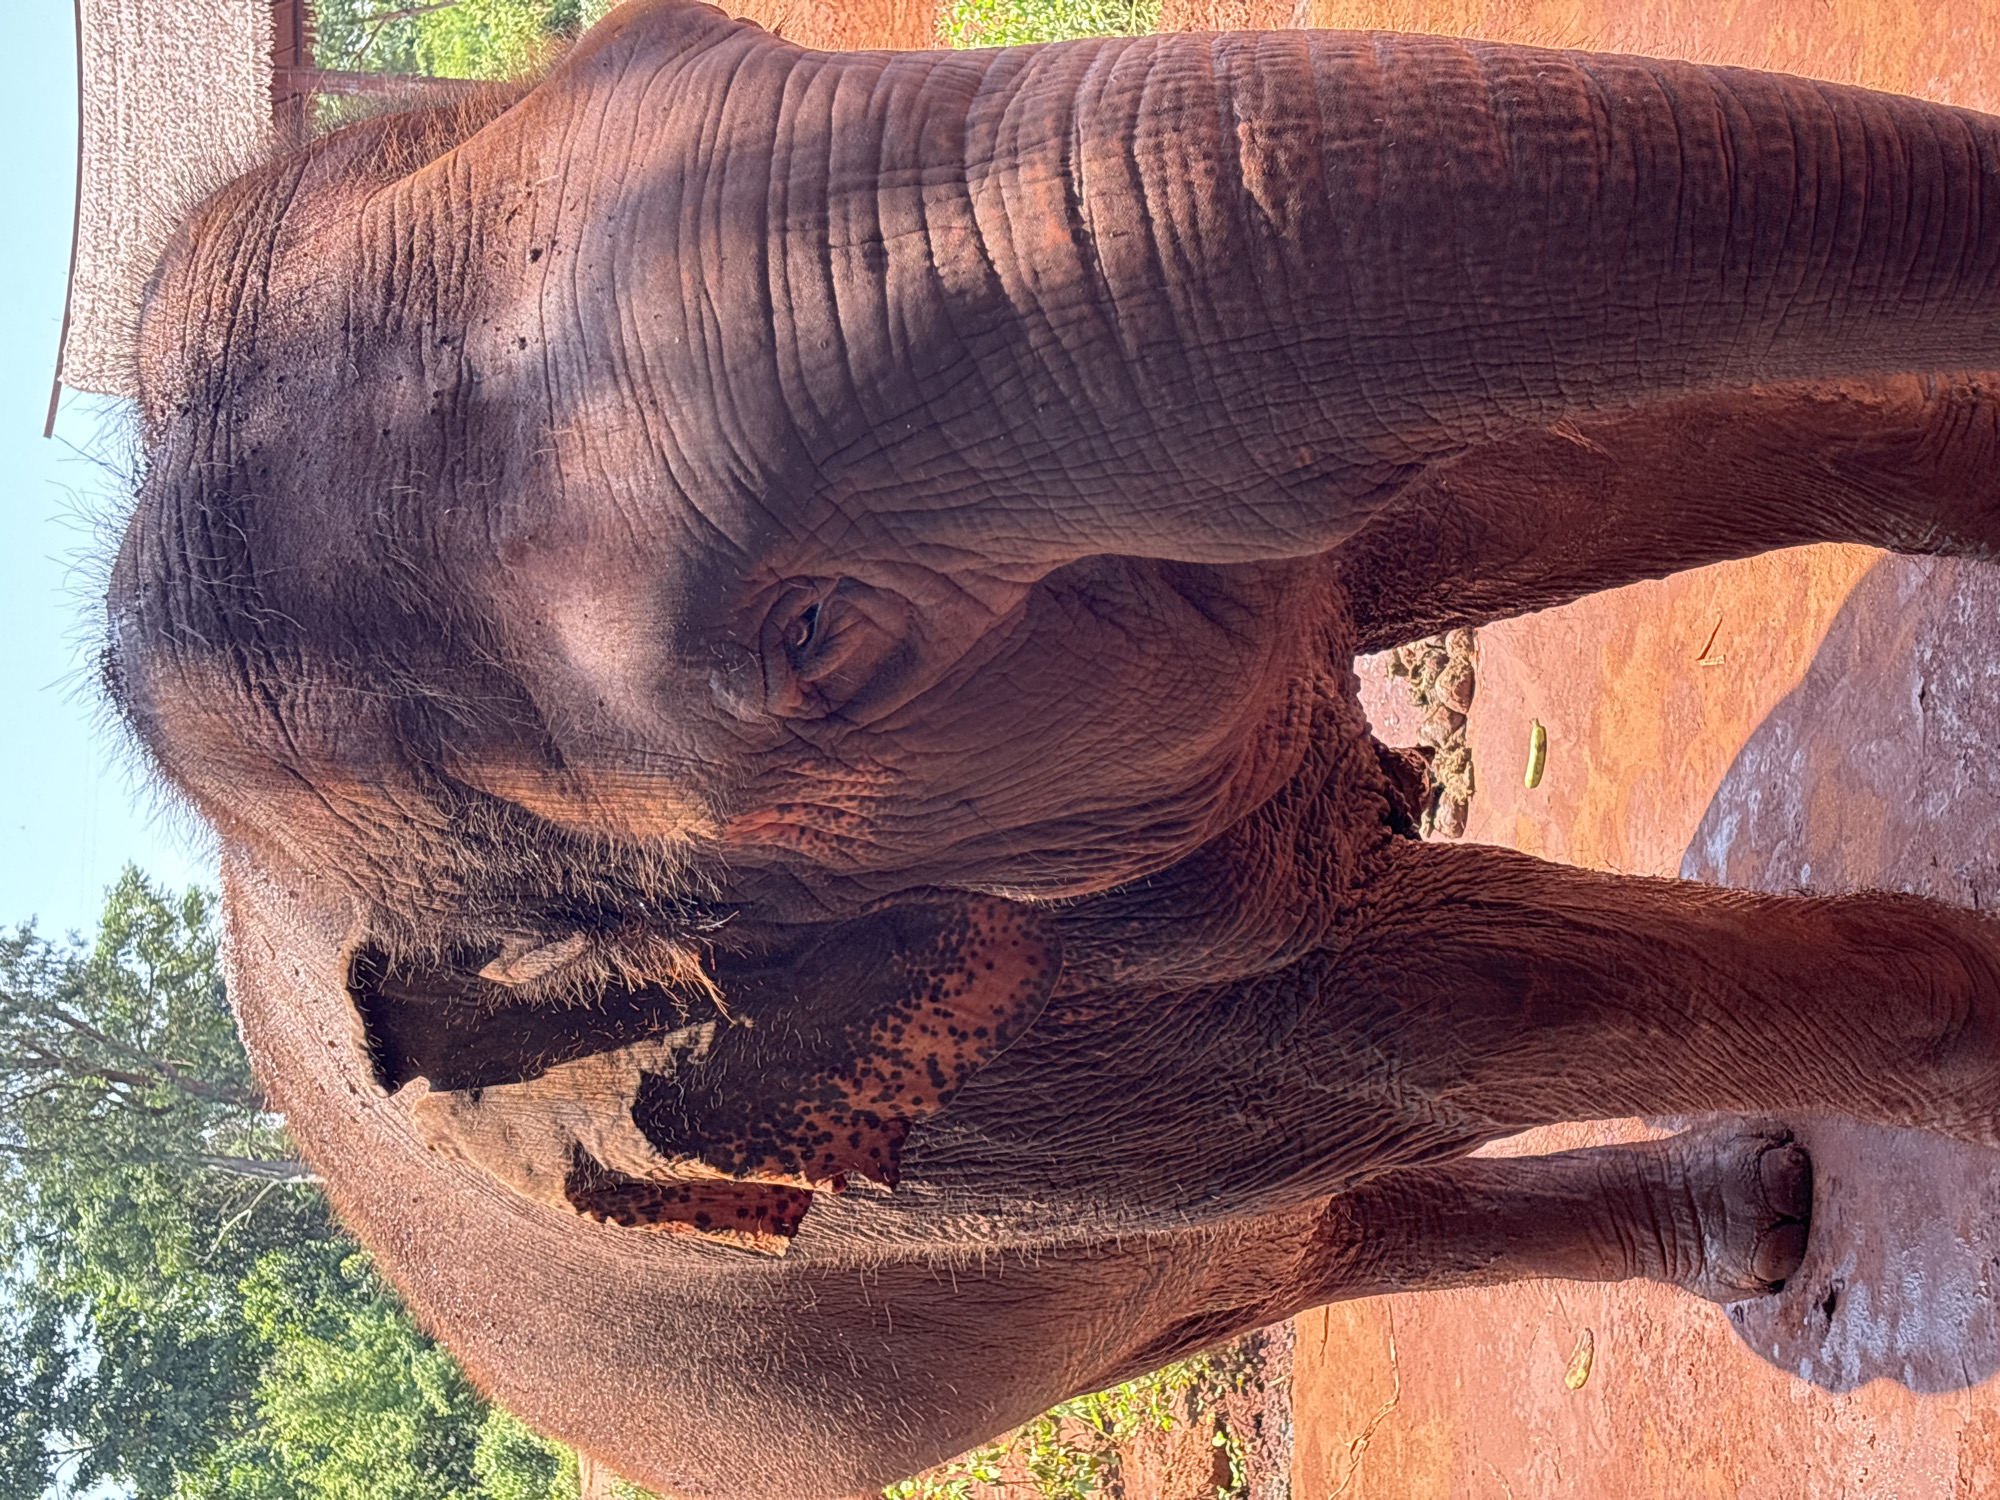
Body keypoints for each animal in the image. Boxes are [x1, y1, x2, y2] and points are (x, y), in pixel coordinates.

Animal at [104, 0, 2000, 1491]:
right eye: (816, 637)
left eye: (692, 35)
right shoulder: (998, 1080)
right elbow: (1442, 1013)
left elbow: (1509, 499)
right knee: (1323, 1236)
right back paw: (1760, 1218)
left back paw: (1768, 1212)